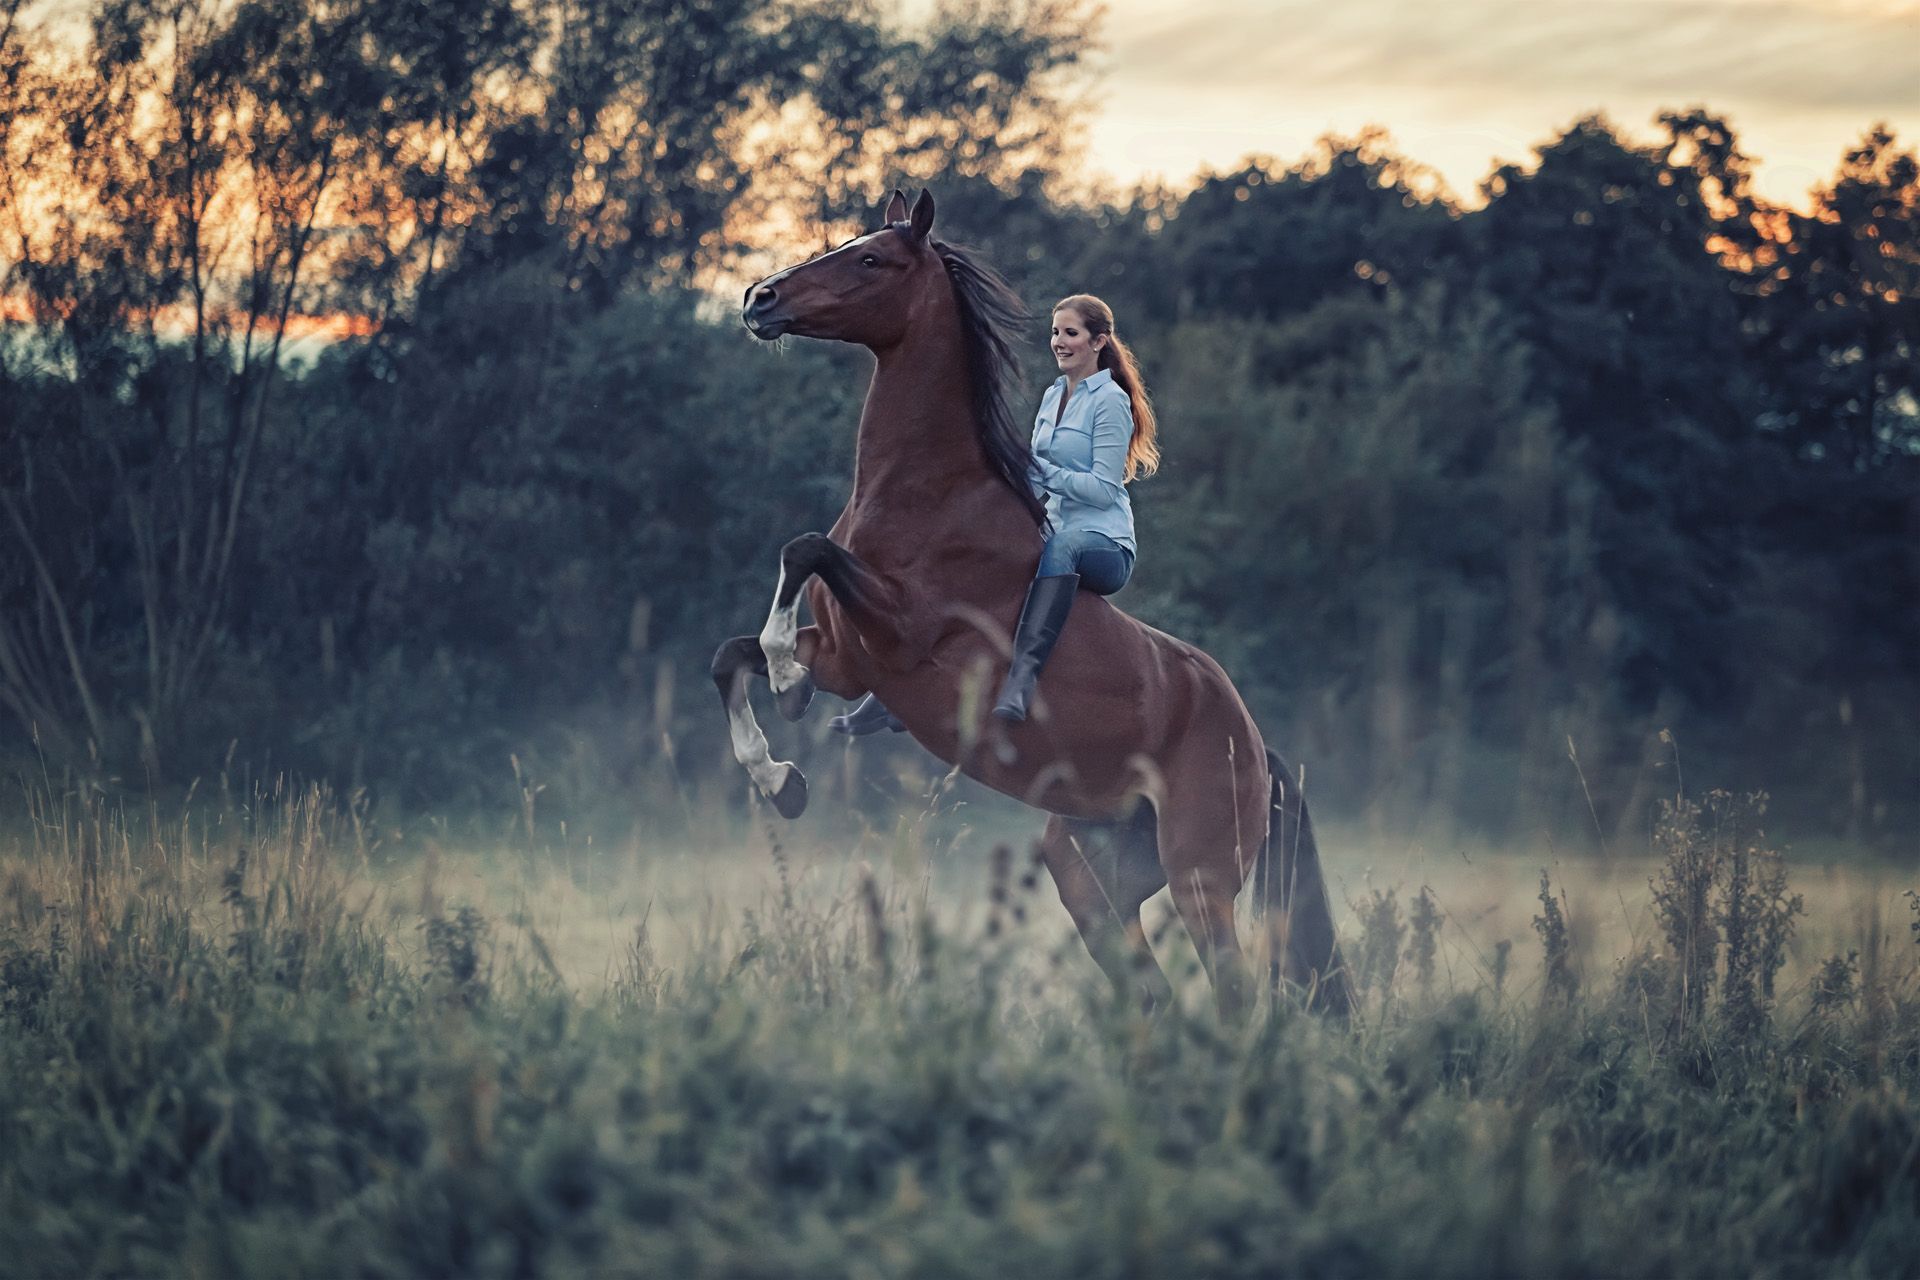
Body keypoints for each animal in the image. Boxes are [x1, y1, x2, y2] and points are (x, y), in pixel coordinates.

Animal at [712, 188, 1352, 1020]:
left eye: (870, 259)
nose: (760, 299)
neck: (925, 494)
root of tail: (1256, 748)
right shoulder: (854, 663)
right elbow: (732, 656)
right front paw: (781, 779)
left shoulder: (903, 633)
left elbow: (804, 548)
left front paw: (786, 687)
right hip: (1089, 871)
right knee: (1148, 988)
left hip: (1200, 877)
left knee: (1234, 993)